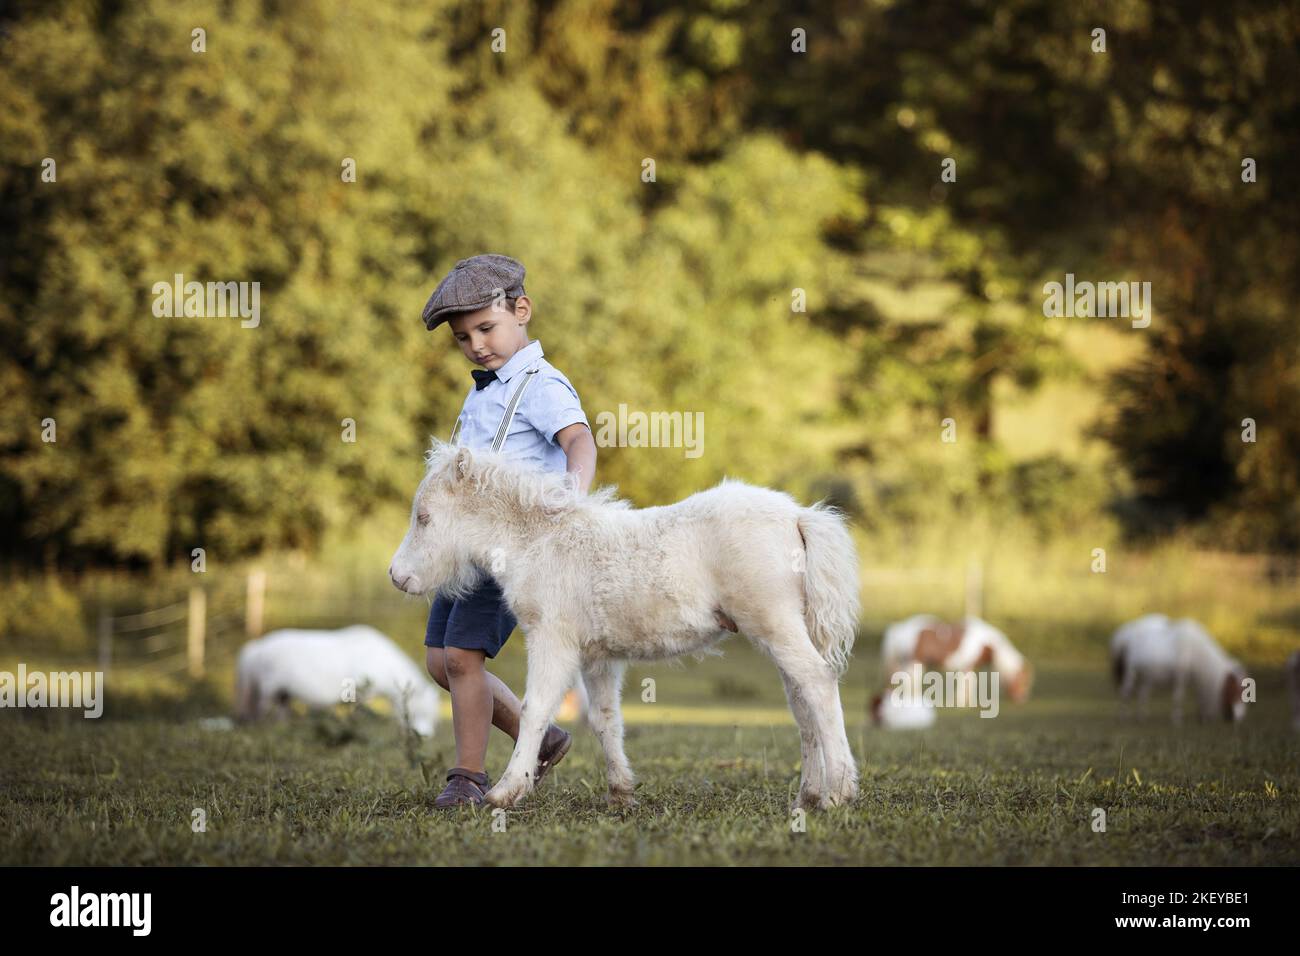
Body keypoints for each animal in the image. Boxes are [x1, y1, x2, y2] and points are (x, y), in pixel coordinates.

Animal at [241, 624, 444, 738]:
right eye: (418, 712)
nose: (426, 736)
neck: (379, 660)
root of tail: (257, 648)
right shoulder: (361, 691)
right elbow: (358, 712)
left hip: (283, 693)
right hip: (269, 690)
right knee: (263, 710)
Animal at [392, 439, 863, 806]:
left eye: (425, 517)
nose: (397, 576)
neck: (540, 543)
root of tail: (798, 517)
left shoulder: (551, 639)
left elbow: (535, 708)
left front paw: (507, 791)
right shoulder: (597, 656)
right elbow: (605, 719)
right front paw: (620, 794)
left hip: (774, 624)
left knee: (818, 684)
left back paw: (838, 791)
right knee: (802, 704)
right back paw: (808, 796)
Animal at [878, 613, 1029, 702]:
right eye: (1022, 681)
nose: (1021, 699)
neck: (983, 643)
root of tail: (899, 628)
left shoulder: (969, 666)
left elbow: (970, 681)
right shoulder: (967, 664)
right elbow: (966, 682)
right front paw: (961, 700)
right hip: (914, 662)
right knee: (909, 680)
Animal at [1107, 616, 1248, 723]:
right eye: (1236, 690)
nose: (1239, 719)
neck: (1193, 651)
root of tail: (1125, 635)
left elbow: (1198, 694)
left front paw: (1202, 716)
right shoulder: (1180, 677)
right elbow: (1178, 697)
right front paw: (1177, 719)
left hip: (1146, 677)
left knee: (1143, 694)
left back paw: (1141, 716)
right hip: (1130, 672)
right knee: (1125, 692)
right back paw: (1123, 716)